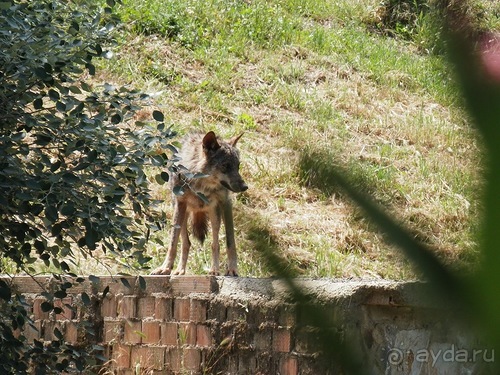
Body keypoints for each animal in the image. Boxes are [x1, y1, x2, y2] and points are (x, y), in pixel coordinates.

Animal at [151, 131, 247, 276]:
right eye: (225, 166)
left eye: (238, 166)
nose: (245, 187)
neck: (201, 184)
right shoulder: (180, 203)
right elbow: (173, 242)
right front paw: (165, 268)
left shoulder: (224, 203)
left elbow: (228, 242)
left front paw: (230, 269)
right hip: (181, 213)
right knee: (186, 242)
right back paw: (180, 270)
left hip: (216, 214)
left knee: (217, 243)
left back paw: (216, 269)